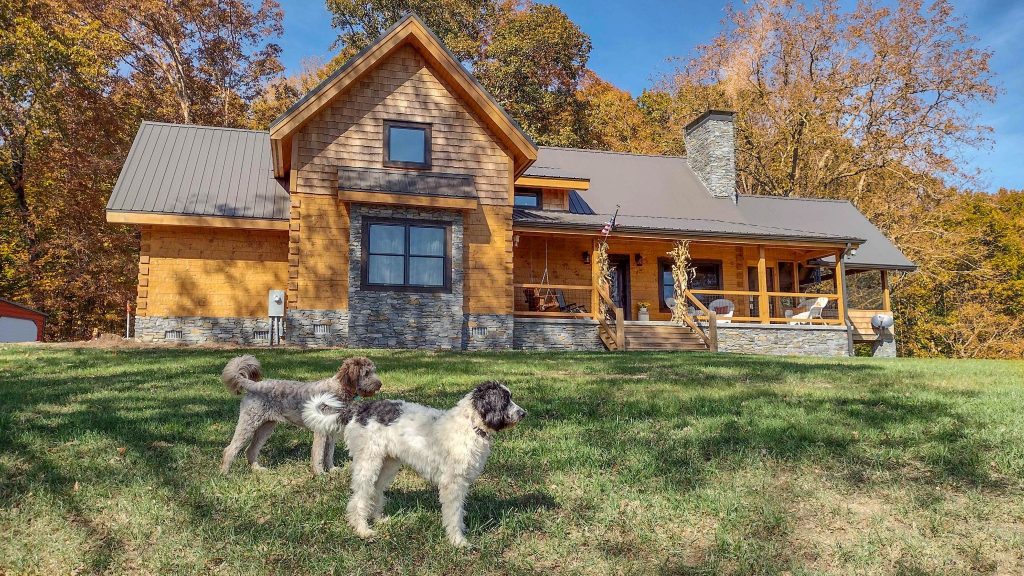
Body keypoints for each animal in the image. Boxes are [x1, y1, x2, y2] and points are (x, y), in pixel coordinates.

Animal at [221, 356, 385, 473]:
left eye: (374, 371)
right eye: (366, 373)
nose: (380, 384)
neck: (337, 392)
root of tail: (253, 385)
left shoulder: (331, 432)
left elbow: (329, 454)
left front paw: (332, 470)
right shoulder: (321, 432)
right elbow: (318, 454)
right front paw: (320, 473)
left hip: (265, 428)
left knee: (251, 450)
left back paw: (257, 469)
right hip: (248, 424)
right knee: (230, 449)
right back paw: (225, 473)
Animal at [301, 379, 528, 545]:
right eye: (505, 400)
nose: (523, 413)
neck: (470, 425)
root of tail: (360, 409)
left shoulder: (461, 483)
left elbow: (460, 511)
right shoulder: (453, 484)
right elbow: (453, 513)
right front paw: (458, 541)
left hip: (388, 465)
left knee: (375, 491)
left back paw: (378, 518)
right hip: (368, 463)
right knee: (359, 497)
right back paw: (362, 529)